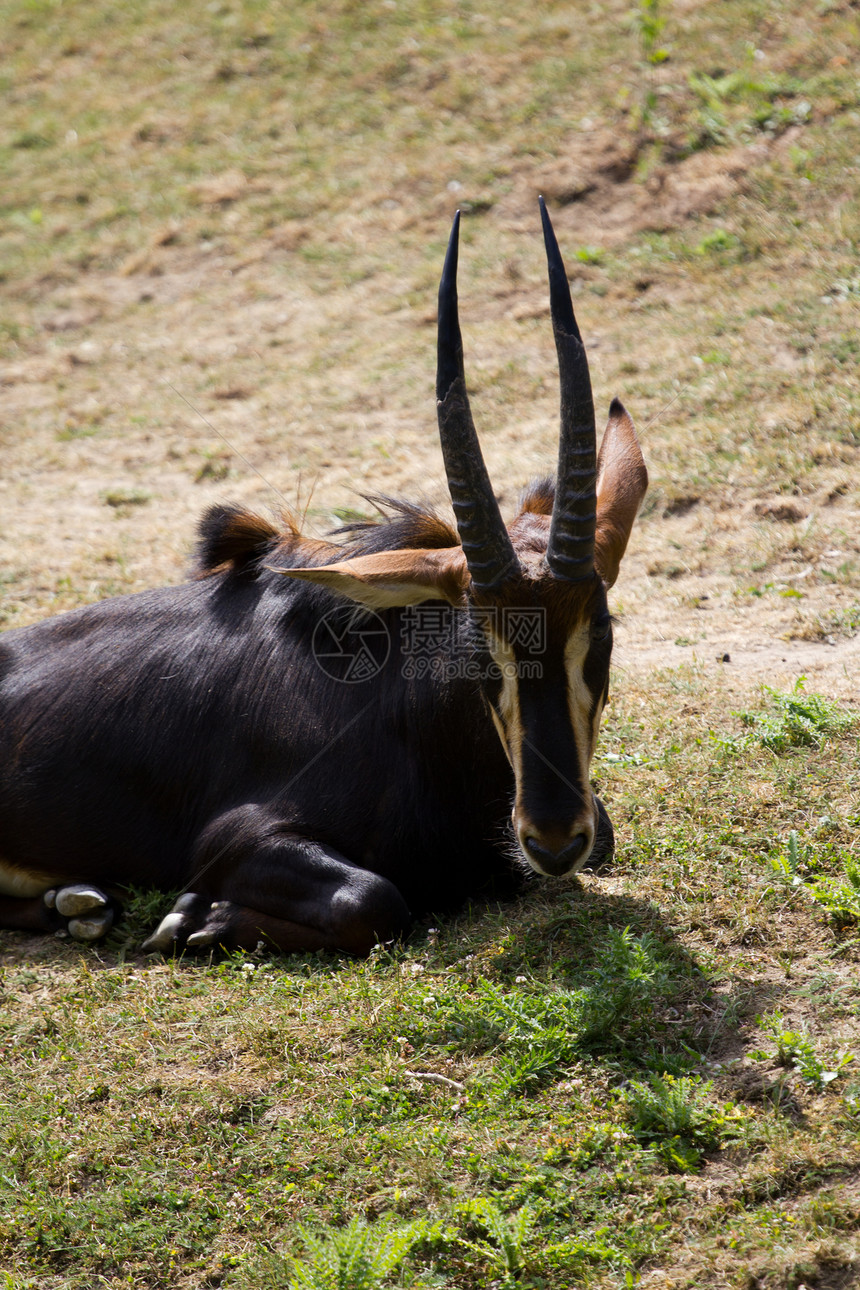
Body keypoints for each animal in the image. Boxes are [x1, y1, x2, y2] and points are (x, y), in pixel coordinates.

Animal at [0, 196, 644, 954]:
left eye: (600, 633)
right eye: (476, 647)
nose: (551, 839)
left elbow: (605, 837)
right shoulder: (234, 837)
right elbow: (375, 899)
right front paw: (192, 919)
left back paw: (79, 902)